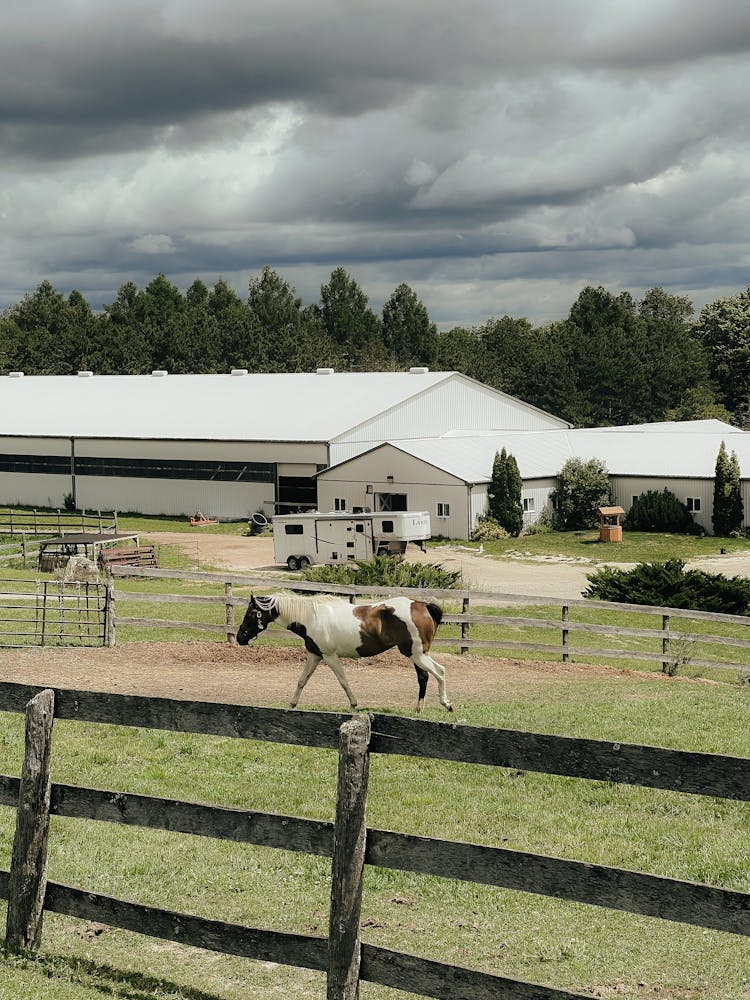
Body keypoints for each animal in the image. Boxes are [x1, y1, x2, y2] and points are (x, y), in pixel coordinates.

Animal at [238, 588, 456, 716]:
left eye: (250, 614)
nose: (240, 637)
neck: (311, 617)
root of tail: (423, 605)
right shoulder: (314, 655)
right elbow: (302, 680)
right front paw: (292, 705)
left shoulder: (329, 656)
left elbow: (343, 680)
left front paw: (353, 705)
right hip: (415, 655)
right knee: (424, 677)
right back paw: (419, 708)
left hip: (417, 654)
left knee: (440, 672)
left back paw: (447, 704)